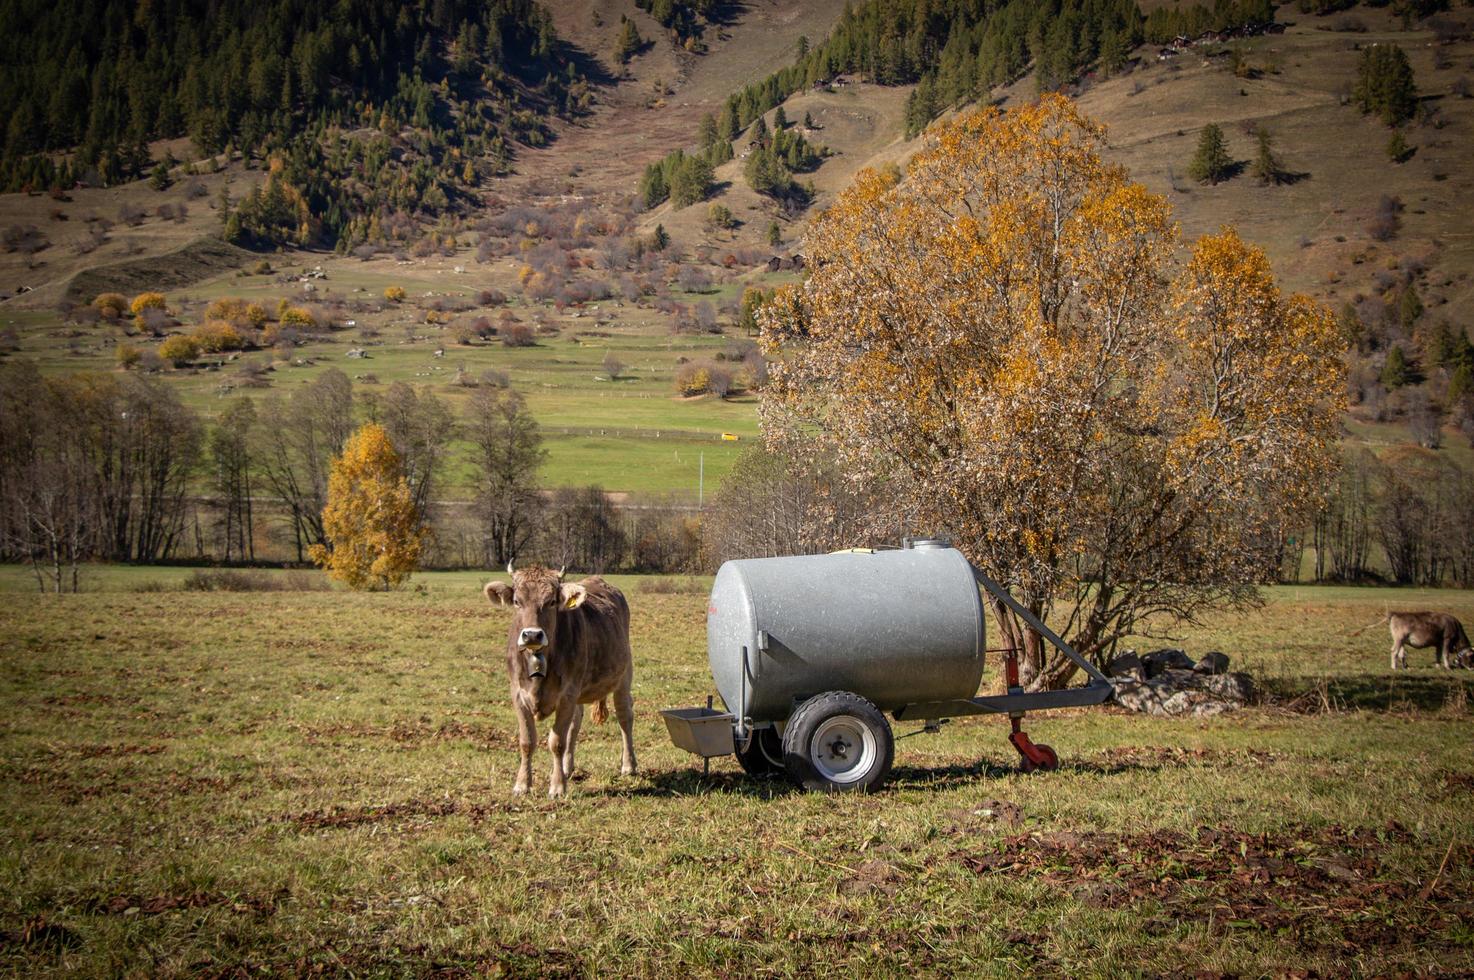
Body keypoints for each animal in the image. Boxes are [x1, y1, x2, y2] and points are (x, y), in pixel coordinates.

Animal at [483, 562, 633, 801]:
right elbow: (527, 741)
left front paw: (557, 787)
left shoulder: (567, 695)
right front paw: (522, 784)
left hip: (623, 675)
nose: (532, 635)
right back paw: (567, 768)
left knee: (624, 716)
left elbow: (557, 742)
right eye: (517, 601)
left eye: (551, 602)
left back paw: (628, 765)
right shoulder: (518, 695)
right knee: (575, 723)